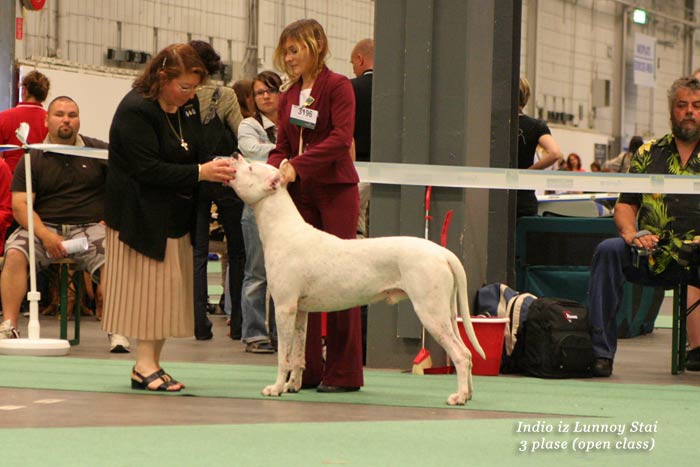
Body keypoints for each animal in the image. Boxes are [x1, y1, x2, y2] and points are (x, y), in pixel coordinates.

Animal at [227, 157, 484, 406]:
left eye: (251, 168)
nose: (234, 156)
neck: (284, 229)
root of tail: (443, 252)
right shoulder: (299, 311)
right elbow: (298, 353)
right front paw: (293, 385)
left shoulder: (283, 308)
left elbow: (284, 356)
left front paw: (276, 388)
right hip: (445, 312)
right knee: (467, 352)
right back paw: (469, 394)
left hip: (431, 311)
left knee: (460, 354)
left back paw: (458, 397)